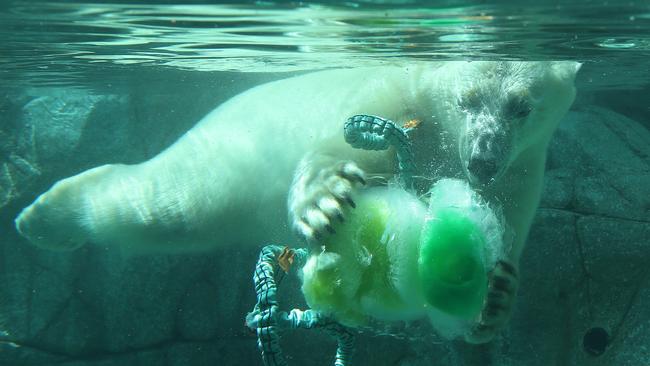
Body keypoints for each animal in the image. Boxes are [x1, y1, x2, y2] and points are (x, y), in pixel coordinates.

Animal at [13, 60, 576, 344]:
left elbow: (505, 226)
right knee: (169, 204)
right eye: (467, 100)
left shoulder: (523, 168)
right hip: (224, 163)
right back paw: (45, 215)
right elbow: (337, 142)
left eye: (522, 106)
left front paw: (496, 296)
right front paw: (325, 202)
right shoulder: (397, 90)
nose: (481, 160)